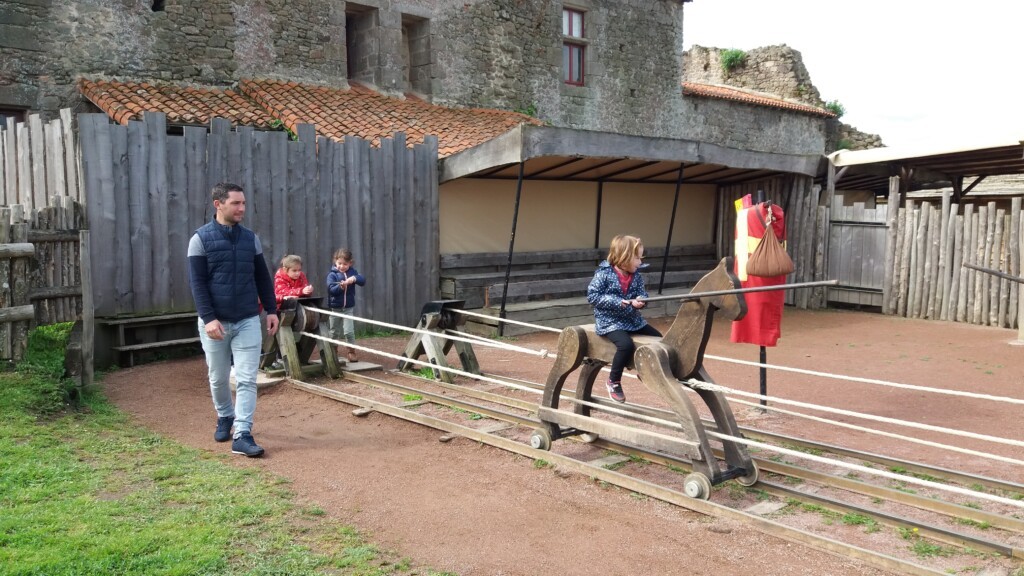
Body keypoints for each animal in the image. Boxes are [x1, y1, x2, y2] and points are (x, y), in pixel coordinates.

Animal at [532, 257, 758, 499]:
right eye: (730, 285)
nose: (742, 313)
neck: (676, 344)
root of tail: (574, 328)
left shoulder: (694, 376)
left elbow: (722, 416)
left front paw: (744, 469)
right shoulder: (654, 369)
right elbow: (693, 428)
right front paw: (700, 481)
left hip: (596, 359)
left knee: (585, 381)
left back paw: (584, 427)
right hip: (572, 347)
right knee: (555, 380)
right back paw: (546, 430)